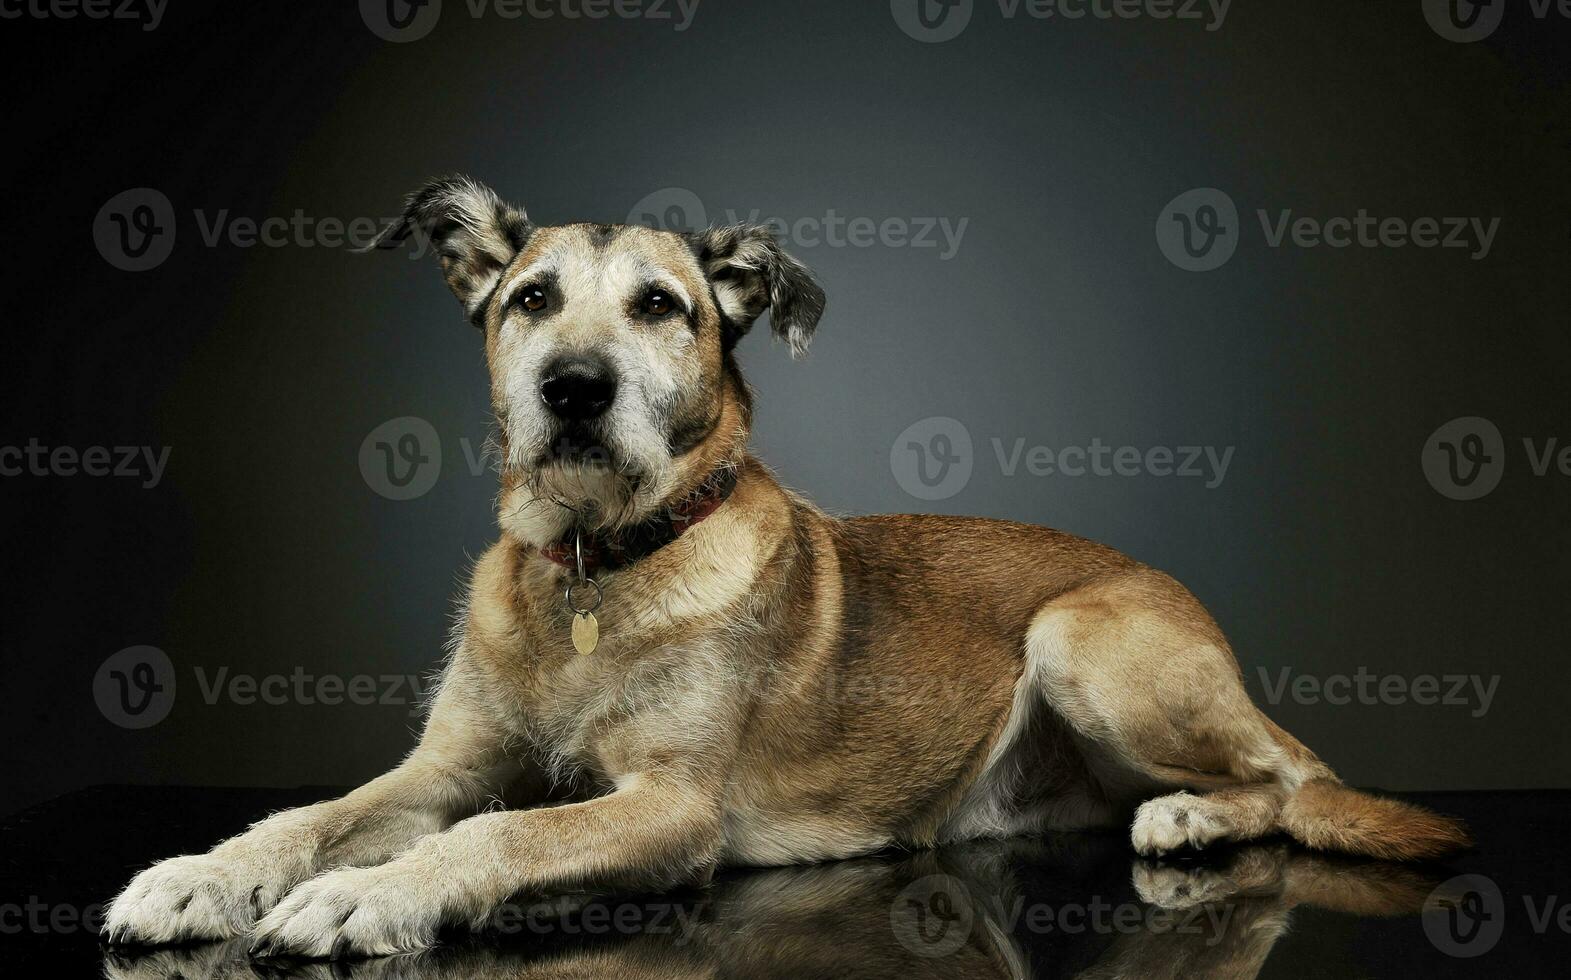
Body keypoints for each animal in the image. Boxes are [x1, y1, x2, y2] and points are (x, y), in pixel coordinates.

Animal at [101, 174, 1470, 954]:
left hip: (1081, 640)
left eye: (660, 306)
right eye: (530, 298)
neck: (594, 565)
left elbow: (496, 836)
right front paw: (201, 875)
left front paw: (368, 897)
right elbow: (313, 814)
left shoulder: (669, 808)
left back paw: (1186, 815)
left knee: (1292, 773)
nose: (573, 388)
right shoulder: (444, 765)